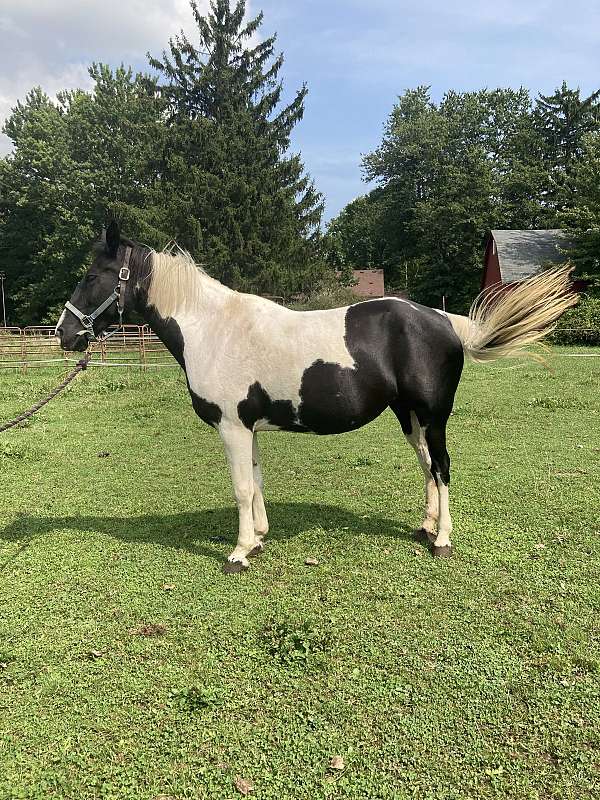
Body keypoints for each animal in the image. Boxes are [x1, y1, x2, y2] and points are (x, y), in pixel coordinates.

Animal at [55, 223, 576, 576]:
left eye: (95, 275)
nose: (65, 334)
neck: (213, 329)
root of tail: (444, 319)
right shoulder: (248, 428)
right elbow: (256, 484)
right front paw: (258, 539)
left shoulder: (231, 427)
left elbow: (240, 488)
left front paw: (238, 553)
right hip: (409, 417)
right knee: (428, 466)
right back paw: (426, 527)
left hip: (433, 416)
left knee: (443, 467)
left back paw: (442, 539)